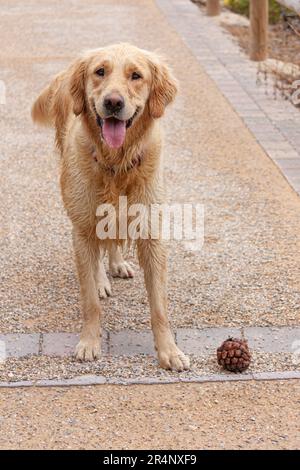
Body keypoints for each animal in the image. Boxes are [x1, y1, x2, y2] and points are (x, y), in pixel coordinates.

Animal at [32, 43, 190, 370]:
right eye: (100, 72)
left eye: (136, 76)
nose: (113, 102)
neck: (116, 164)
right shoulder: (82, 228)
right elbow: (90, 301)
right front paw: (89, 342)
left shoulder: (152, 234)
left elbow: (159, 306)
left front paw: (169, 351)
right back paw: (102, 279)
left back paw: (116, 264)